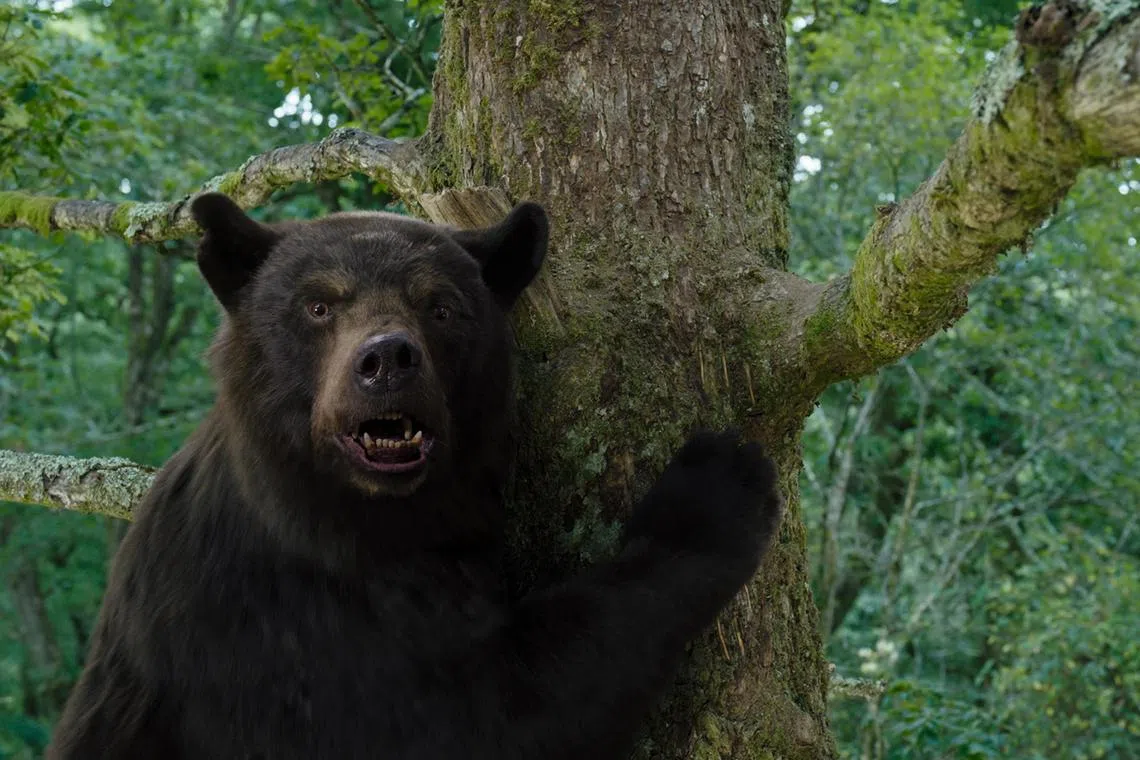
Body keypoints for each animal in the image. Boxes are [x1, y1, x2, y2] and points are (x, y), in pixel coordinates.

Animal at [47, 193, 783, 760]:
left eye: (441, 306)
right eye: (318, 305)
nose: (387, 360)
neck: (360, 519)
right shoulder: (278, 633)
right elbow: (485, 713)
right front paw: (714, 489)